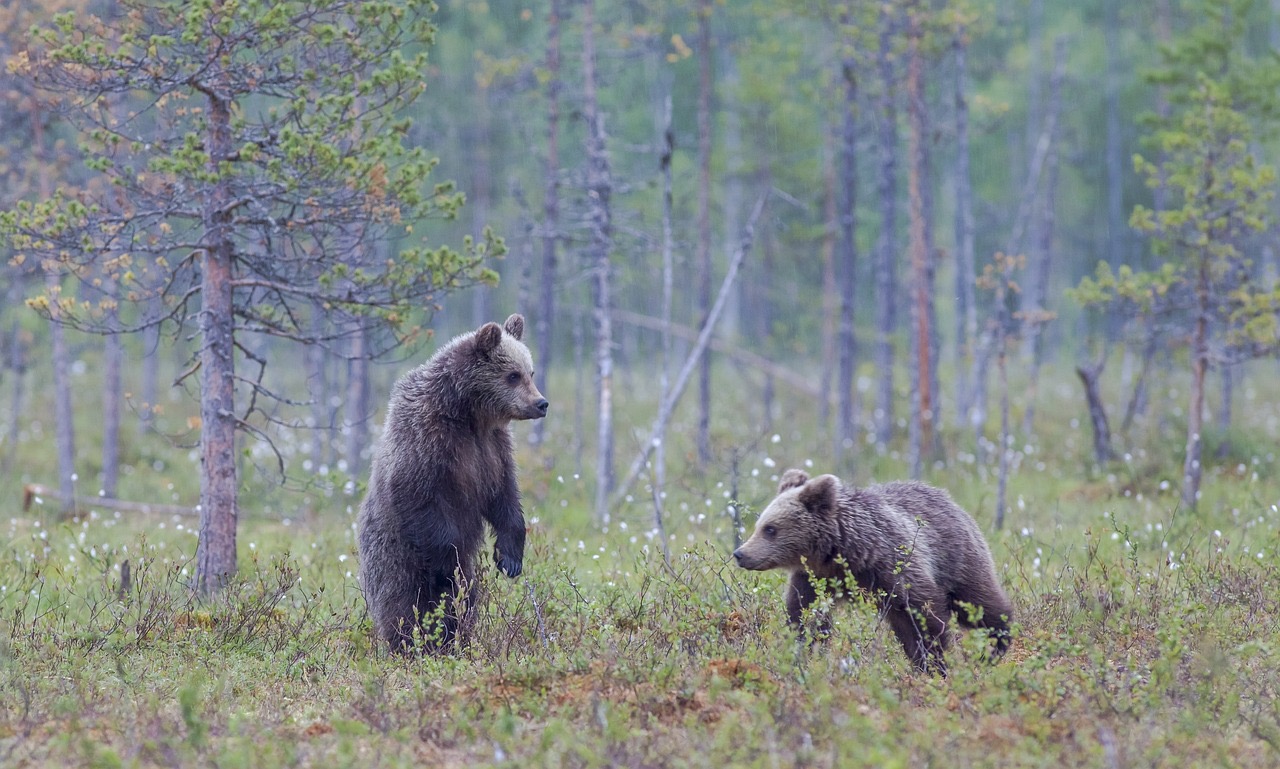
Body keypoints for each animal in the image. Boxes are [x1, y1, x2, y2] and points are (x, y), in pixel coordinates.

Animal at [355, 312, 550, 647]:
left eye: (530, 371)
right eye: (513, 375)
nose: (541, 403)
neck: (468, 414)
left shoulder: (492, 450)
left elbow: (505, 497)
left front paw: (510, 559)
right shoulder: (427, 443)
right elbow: (420, 499)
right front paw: (450, 565)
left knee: (465, 603)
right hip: (394, 555)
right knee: (403, 603)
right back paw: (411, 642)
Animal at [737, 468, 1013, 670]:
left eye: (770, 529)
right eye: (759, 525)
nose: (740, 554)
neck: (841, 553)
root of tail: (950, 499)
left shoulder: (892, 566)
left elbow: (924, 616)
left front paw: (934, 663)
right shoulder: (815, 578)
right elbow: (805, 615)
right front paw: (801, 653)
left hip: (958, 558)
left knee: (978, 601)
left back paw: (998, 641)